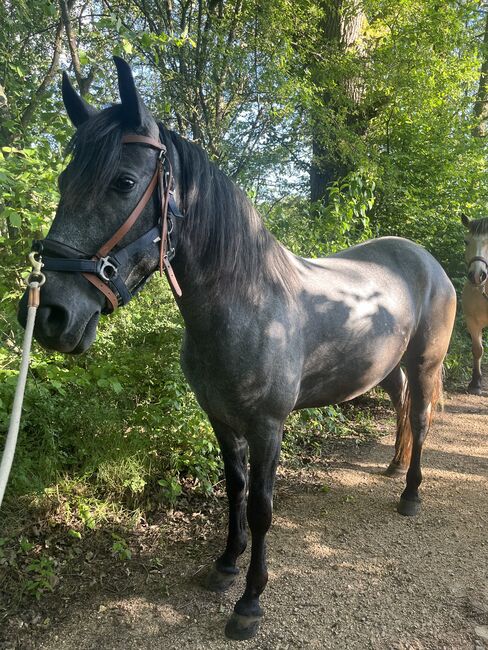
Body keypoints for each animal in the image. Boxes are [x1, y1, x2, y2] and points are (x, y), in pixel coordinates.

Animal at [18, 59, 458, 636]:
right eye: (64, 181)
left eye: (124, 182)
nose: (51, 314)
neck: (248, 301)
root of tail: (425, 260)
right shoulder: (221, 419)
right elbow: (234, 489)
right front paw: (226, 565)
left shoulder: (267, 426)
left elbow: (263, 507)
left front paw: (249, 602)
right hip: (388, 370)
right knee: (403, 408)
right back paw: (390, 469)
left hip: (426, 364)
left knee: (422, 416)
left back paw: (410, 494)